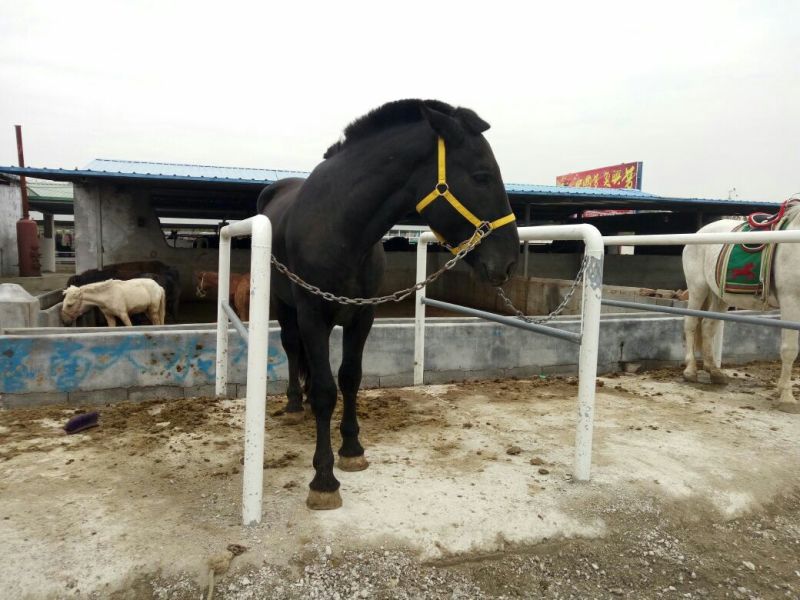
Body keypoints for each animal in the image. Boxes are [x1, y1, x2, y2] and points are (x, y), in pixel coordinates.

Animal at [258, 99, 519, 510]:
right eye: (482, 177)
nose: (509, 261)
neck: (339, 228)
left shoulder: (362, 314)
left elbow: (350, 378)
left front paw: (352, 449)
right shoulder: (313, 316)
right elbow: (324, 391)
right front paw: (323, 479)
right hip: (283, 305)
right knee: (290, 345)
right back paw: (294, 404)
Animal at [682, 201, 800, 412]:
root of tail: (701, 230)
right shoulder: (791, 300)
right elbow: (790, 349)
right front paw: (786, 397)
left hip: (719, 296)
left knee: (708, 327)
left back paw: (714, 371)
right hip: (698, 288)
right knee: (691, 324)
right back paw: (690, 370)